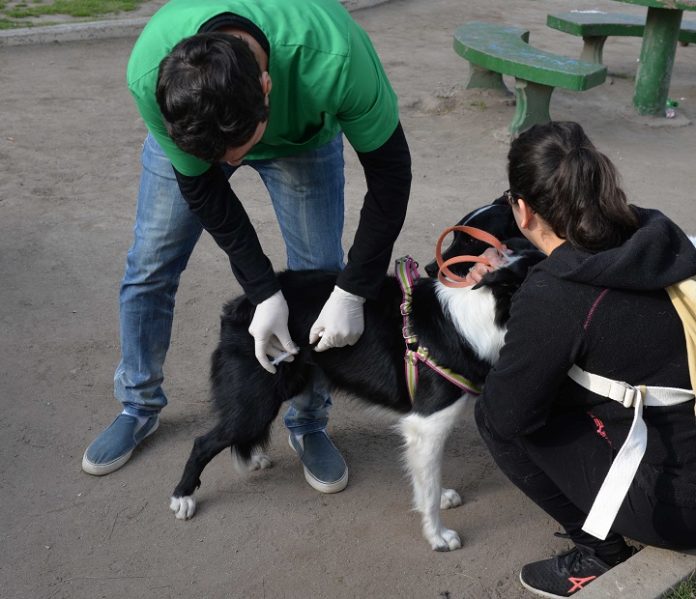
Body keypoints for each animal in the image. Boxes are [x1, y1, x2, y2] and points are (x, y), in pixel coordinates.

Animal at [169, 196, 543, 552]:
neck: (486, 313)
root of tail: (240, 305)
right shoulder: (426, 423)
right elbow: (429, 485)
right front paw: (437, 536)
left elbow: (428, 479)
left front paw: (440, 501)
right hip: (256, 400)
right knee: (204, 442)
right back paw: (182, 497)